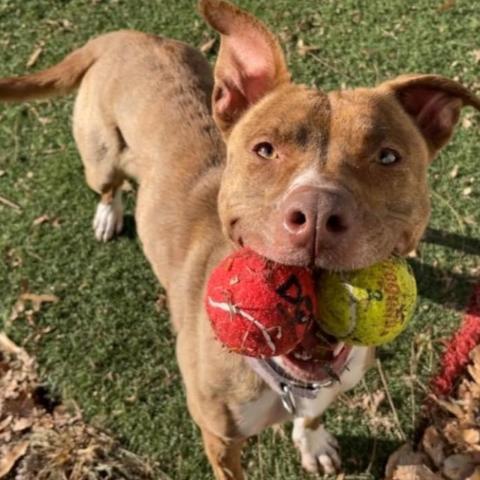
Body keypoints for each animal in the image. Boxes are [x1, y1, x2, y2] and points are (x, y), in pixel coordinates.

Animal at [0, 1, 480, 478]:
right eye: (264, 149)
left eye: (387, 157)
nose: (318, 213)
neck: (287, 380)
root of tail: (123, 36)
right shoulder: (220, 438)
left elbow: (312, 415)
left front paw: (312, 441)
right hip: (98, 154)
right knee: (108, 183)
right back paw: (108, 212)